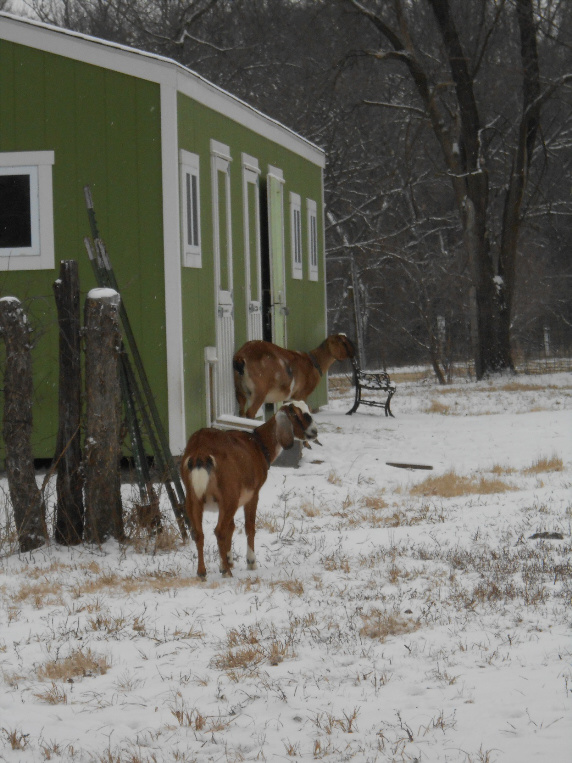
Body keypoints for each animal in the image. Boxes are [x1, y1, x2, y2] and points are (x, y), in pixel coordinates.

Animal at [181, 402, 320, 576]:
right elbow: (249, 527)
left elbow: (232, 527)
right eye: (299, 415)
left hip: (193, 498)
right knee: (219, 531)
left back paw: (202, 572)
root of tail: (201, 451)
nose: (314, 432)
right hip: (229, 497)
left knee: (198, 533)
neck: (258, 444)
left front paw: (228, 560)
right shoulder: (252, 494)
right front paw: (250, 562)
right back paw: (227, 572)